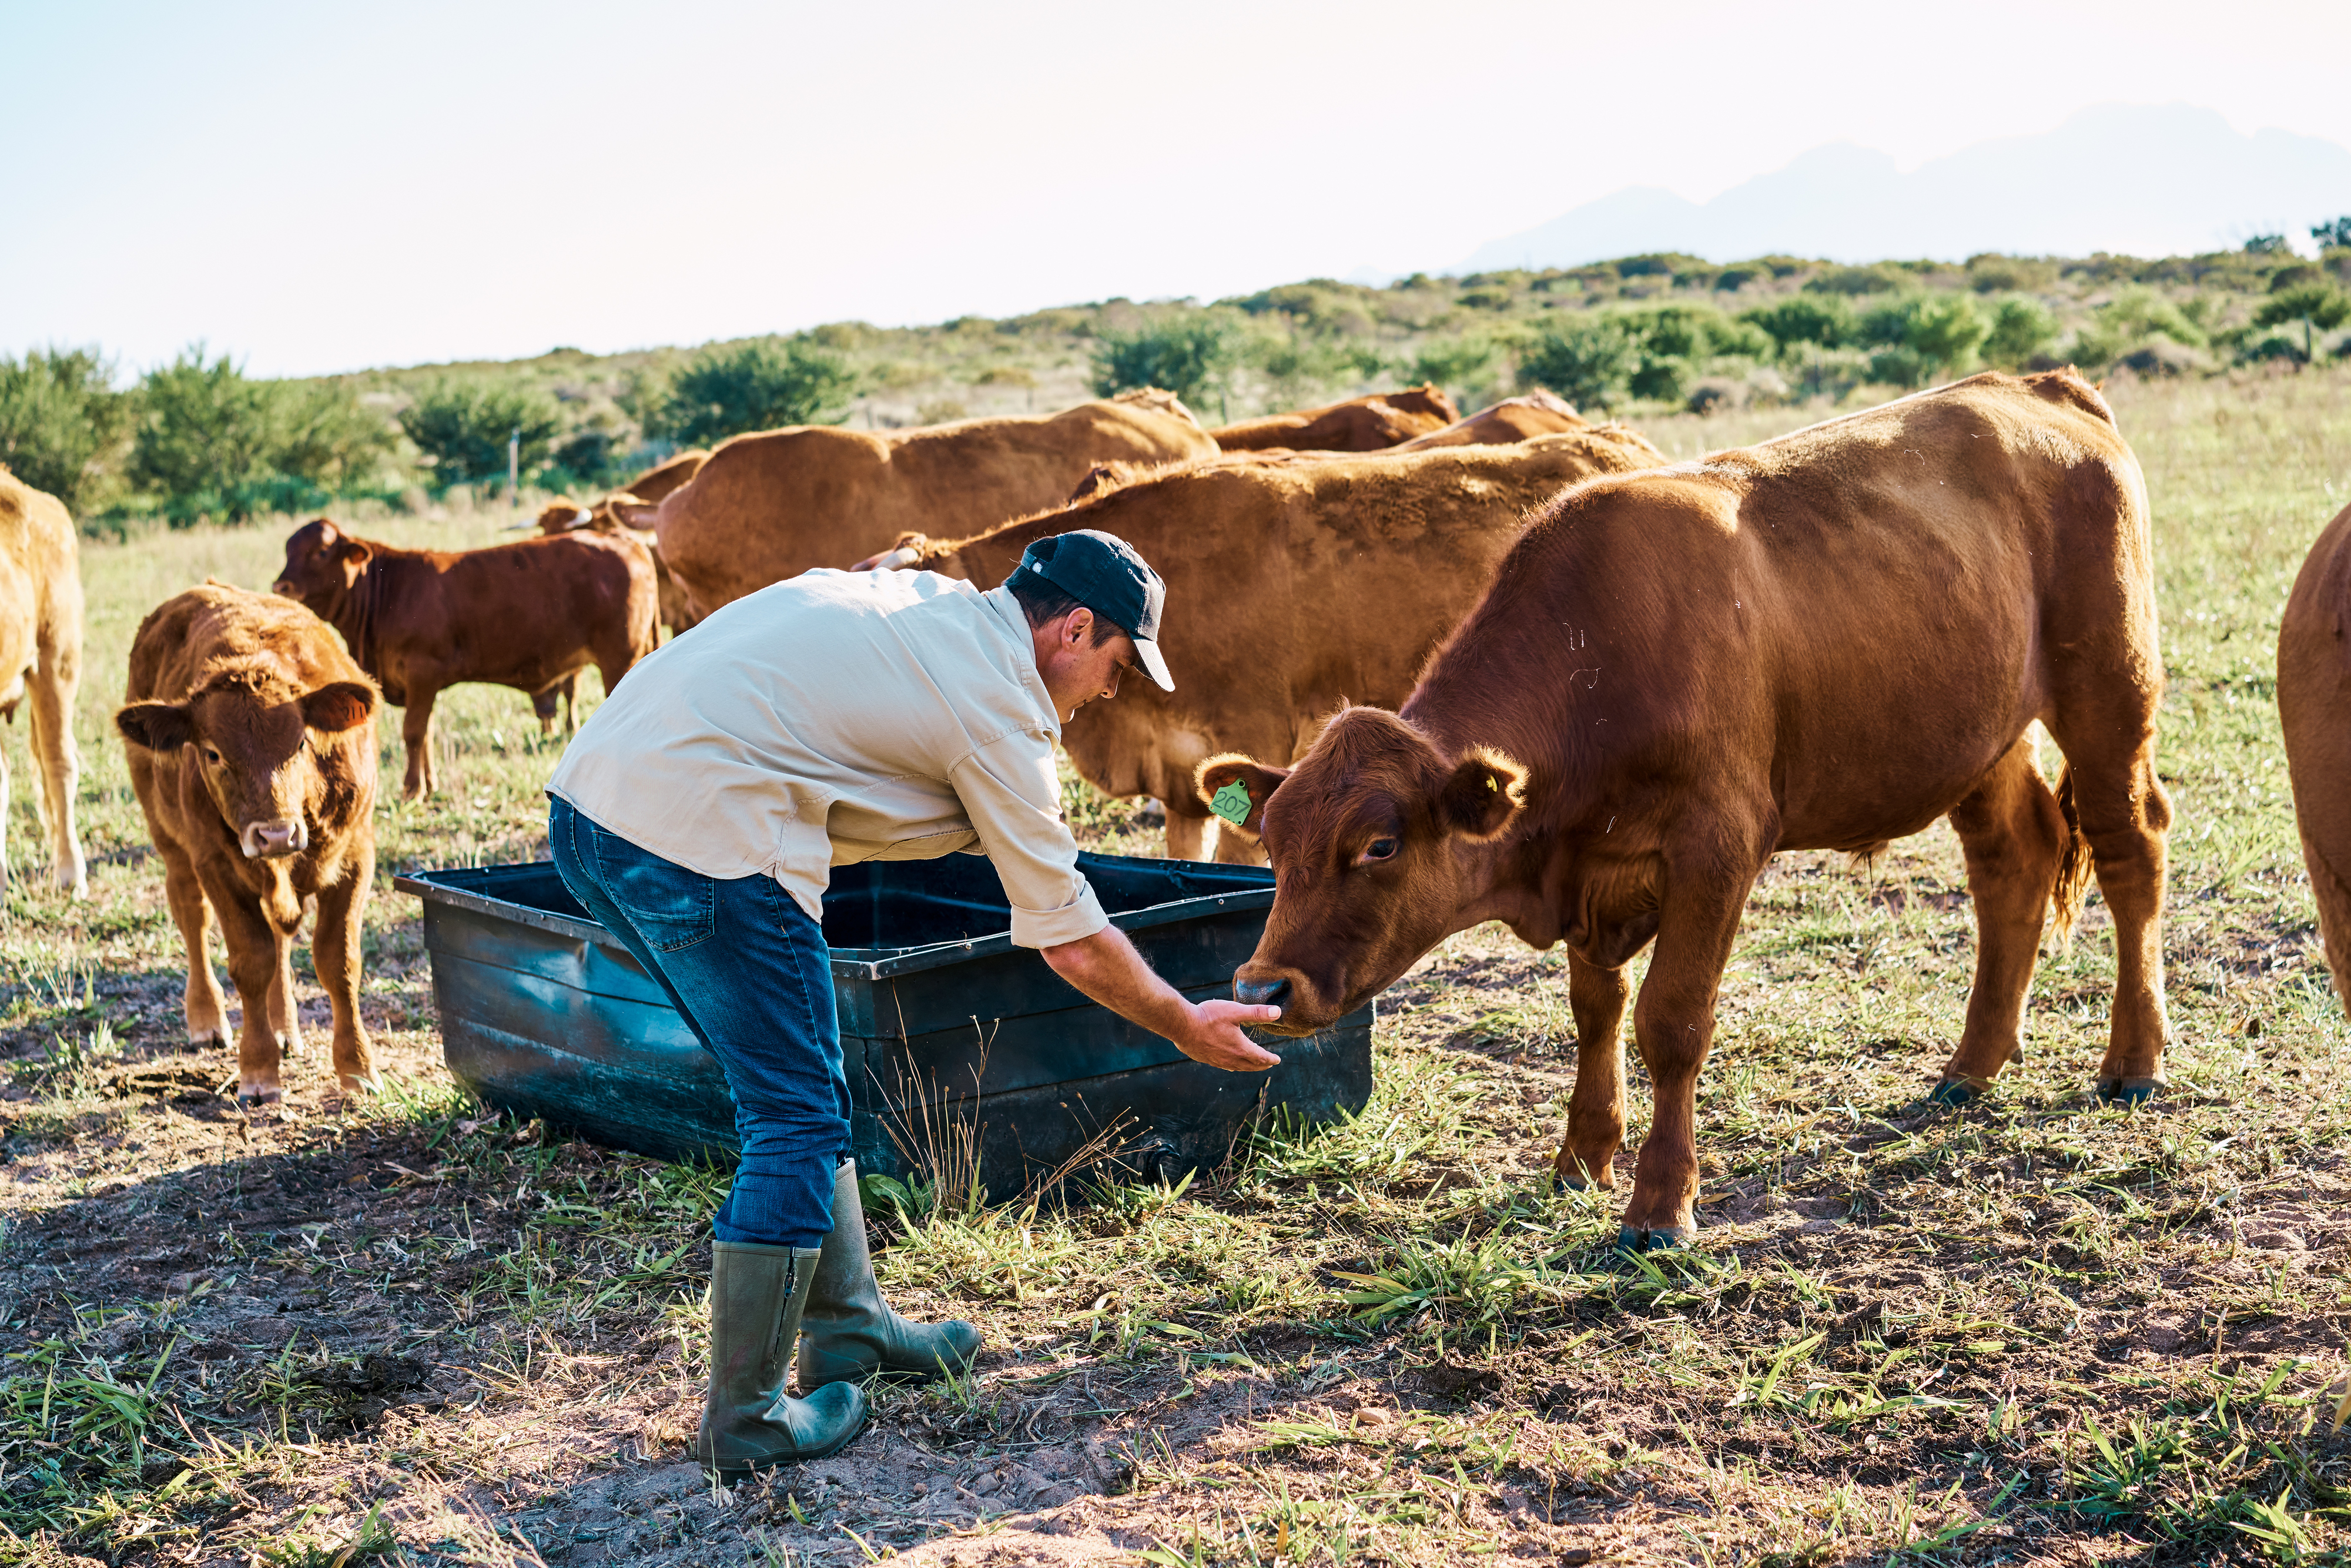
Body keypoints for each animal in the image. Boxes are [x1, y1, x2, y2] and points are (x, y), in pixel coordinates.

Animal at [116, 583, 382, 1103]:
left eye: (300, 743)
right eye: (213, 754)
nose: (276, 833)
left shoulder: (356, 854)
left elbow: (338, 962)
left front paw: (357, 1069)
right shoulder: (216, 865)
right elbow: (251, 962)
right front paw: (259, 1070)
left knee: (280, 934)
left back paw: (286, 1027)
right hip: (171, 842)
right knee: (191, 915)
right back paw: (206, 1018)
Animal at [273, 519, 657, 800]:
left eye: (322, 551)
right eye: (288, 549)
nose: (281, 588)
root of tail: (623, 539)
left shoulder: (422, 674)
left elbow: (413, 732)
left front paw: (411, 790)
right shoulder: (420, 686)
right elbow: (426, 733)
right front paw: (429, 785)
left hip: (619, 659)